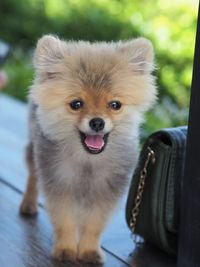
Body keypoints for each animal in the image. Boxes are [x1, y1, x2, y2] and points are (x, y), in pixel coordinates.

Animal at [19, 35, 156, 266]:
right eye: (76, 104)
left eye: (115, 105)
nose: (97, 122)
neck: (87, 162)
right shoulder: (59, 184)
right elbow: (65, 221)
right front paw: (65, 249)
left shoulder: (105, 192)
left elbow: (93, 225)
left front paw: (89, 251)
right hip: (34, 147)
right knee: (32, 175)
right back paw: (28, 203)